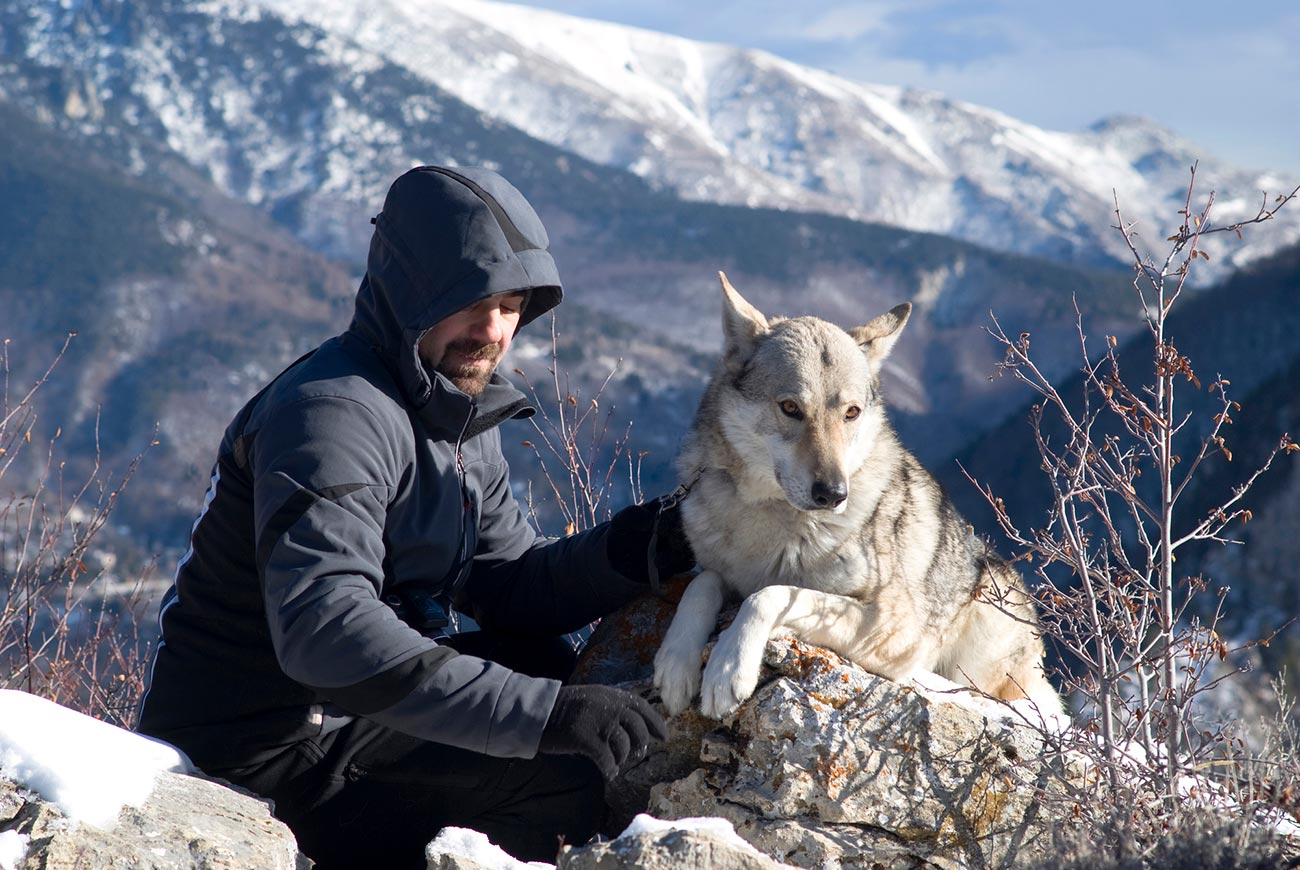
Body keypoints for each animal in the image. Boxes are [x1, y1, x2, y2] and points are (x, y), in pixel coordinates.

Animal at [655, 273, 1060, 717]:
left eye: (851, 413)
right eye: (790, 408)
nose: (833, 493)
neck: (774, 521)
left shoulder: (895, 628)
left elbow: (771, 595)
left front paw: (729, 667)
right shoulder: (721, 572)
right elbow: (702, 583)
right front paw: (675, 662)